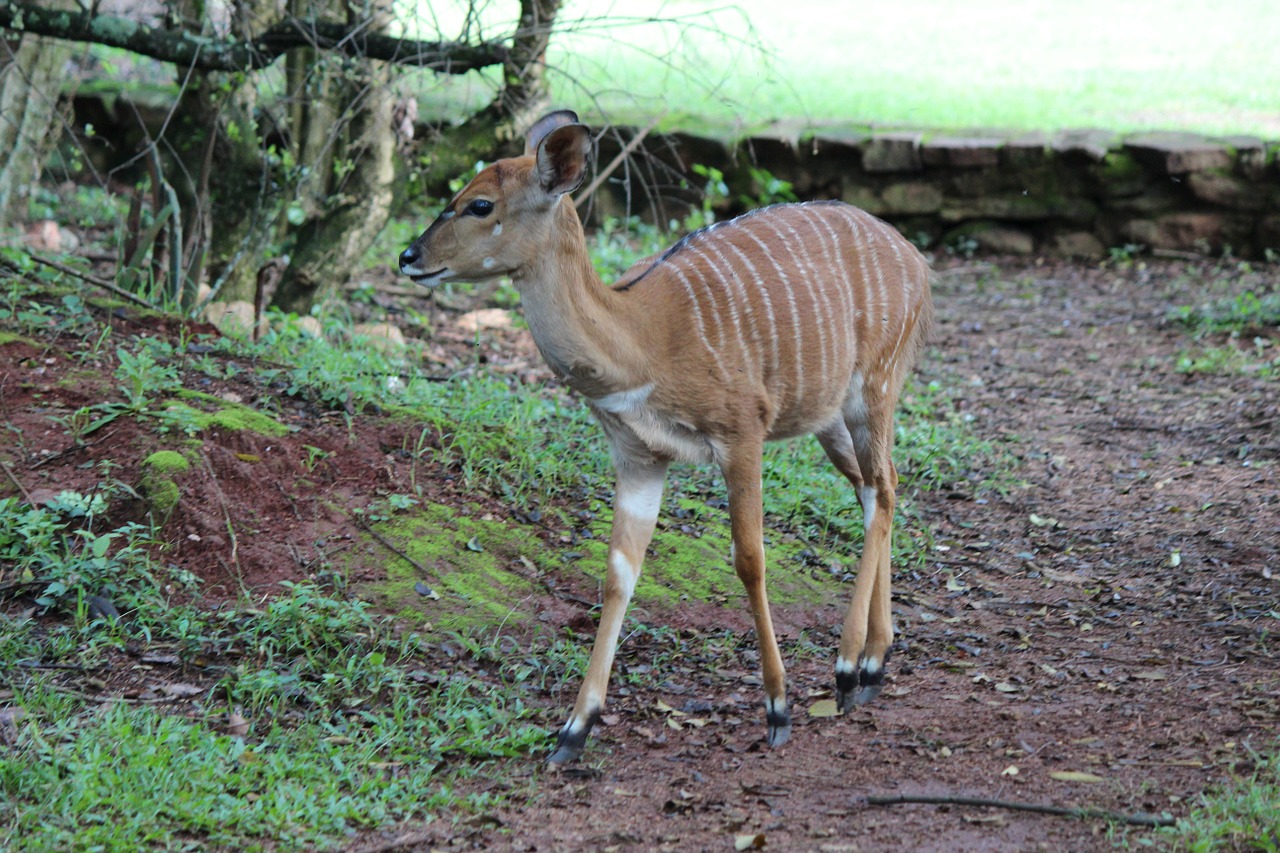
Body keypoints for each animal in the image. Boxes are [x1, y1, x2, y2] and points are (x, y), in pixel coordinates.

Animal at [401, 109, 942, 758]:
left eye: (480, 204)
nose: (407, 255)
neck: (642, 340)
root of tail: (917, 260)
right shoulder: (638, 455)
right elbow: (619, 573)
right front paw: (573, 730)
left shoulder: (742, 433)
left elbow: (750, 559)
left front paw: (778, 708)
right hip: (829, 415)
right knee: (877, 488)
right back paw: (873, 662)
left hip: (875, 385)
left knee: (881, 489)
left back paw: (848, 668)